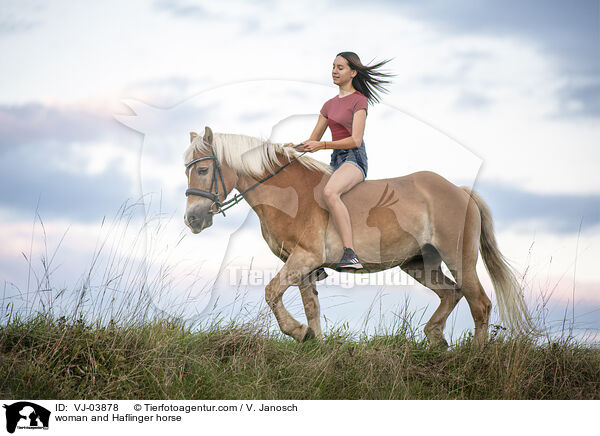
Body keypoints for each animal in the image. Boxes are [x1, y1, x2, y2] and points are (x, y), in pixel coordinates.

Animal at [184, 126, 536, 348]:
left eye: (202, 170)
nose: (192, 219)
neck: (289, 195)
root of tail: (460, 191)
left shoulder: (305, 258)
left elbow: (272, 292)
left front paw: (297, 332)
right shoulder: (303, 266)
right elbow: (311, 307)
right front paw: (314, 344)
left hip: (458, 258)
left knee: (480, 304)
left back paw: (474, 356)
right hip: (418, 263)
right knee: (451, 294)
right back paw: (436, 338)